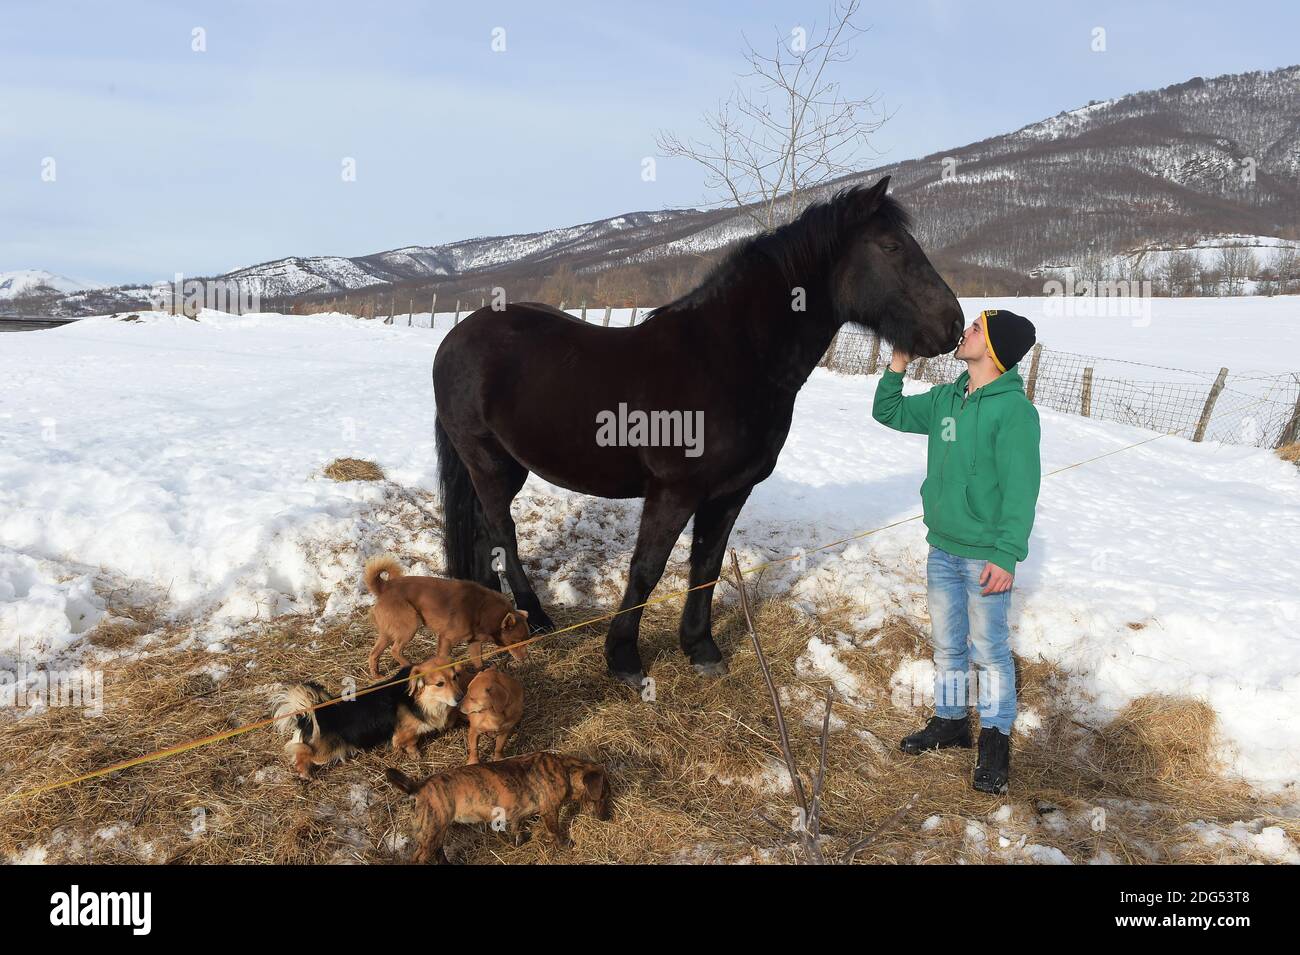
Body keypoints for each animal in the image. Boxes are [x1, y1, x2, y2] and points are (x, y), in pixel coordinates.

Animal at [271, 660, 465, 779]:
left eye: (455, 677)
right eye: (439, 684)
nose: (461, 697)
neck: (417, 699)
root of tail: (315, 713)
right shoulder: (406, 732)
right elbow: (410, 742)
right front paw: (415, 755)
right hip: (324, 752)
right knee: (301, 751)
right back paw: (305, 773)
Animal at [366, 553, 527, 680]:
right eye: (516, 641)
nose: (524, 659)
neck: (482, 609)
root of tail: (385, 587)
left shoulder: (474, 643)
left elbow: (478, 661)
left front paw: (481, 672)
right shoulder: (446, 639)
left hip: (388, 633)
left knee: (374, 654)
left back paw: (377, 676)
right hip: (410, 625)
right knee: (395, 650)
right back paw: (410, 666)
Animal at [382, 753, 611, 867]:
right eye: (604, 795)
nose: (606, 818)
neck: (565, 769)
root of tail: (418, 787)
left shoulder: (518, 813)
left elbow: (517, 827)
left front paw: (519, 840)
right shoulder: (550, 811)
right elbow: (555, 830)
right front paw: (566, 844)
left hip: (436, 832)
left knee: (439, 852)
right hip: (432, 831)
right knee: (418, 858)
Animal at [431, 178, 961, 686]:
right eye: (891, 246)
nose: (953, 325)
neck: (729, 360)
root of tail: (458, 336)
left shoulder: (729, 492)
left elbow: (706, 566)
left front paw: (701, 648)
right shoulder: (673, 491)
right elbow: (647, 569)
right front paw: (623, 657)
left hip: (507, 465)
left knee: (483, 530)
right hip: (486, 461)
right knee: (502, 531)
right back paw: (536, 616)